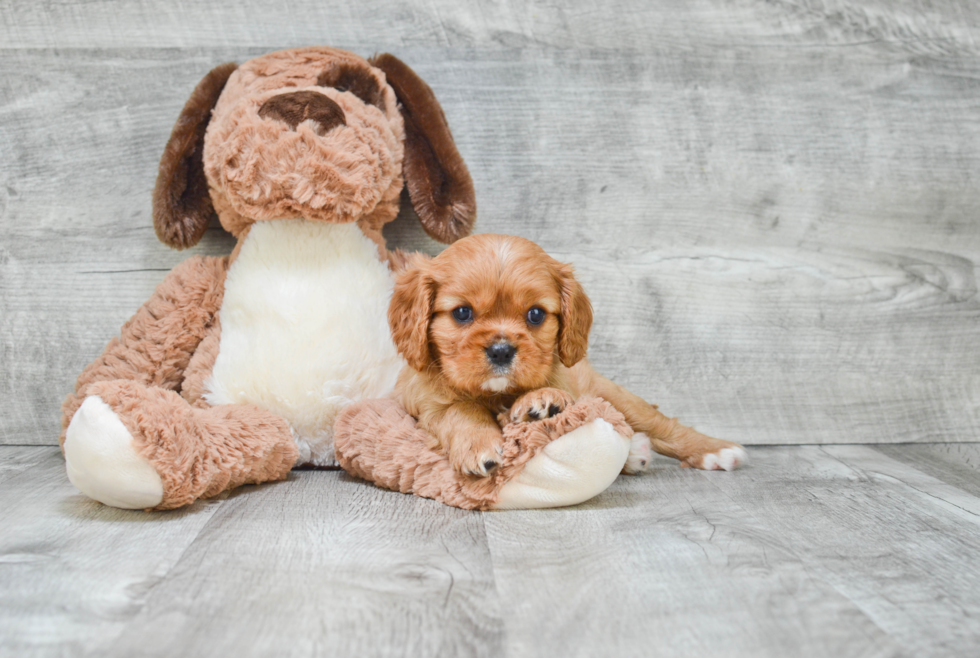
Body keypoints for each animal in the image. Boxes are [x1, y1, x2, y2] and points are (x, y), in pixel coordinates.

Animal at [386, 233, 748, 474]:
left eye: (535, 314)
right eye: (462, 312)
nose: (501, 351)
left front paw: (541, 402)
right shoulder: (423, 399)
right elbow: (459, 409)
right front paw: (479, 444)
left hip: (612, 394)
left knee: (661, 425)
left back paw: (716, 450)